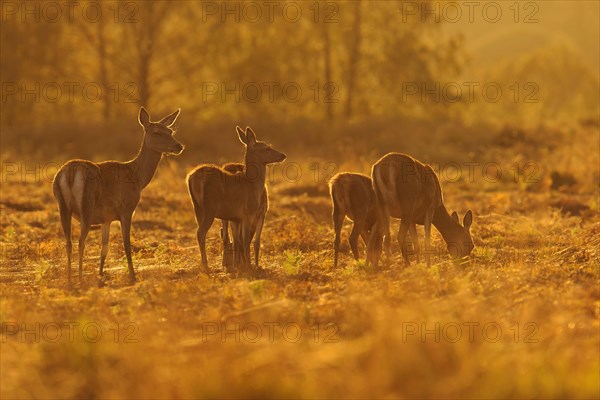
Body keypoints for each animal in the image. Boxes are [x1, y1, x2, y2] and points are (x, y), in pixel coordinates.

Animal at [52, 106, 184, 284]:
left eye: (170, 131)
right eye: (157, 132)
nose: (178, 146)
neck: (138, 178)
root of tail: (69, 174)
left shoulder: (106, 218)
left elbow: (104, 248)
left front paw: (101, 275)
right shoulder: (126, 210)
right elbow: (126, 244)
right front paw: (133, 276)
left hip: (62, 206)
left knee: (68, 242)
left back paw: (69, 280)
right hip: (86, 205)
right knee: (80, 241)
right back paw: (79, 278)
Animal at [188, 126, 286, 270]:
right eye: (266, 148)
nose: (283, 155)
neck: (251, 185)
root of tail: (192, 178)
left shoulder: (235, 217)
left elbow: (237, 241)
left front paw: (240, 265)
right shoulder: (248, 213)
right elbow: (246, 241)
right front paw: (249, 266)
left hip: (197, 208)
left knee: (204, 232)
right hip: (210, 208)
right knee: (200, 232)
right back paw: (206, 265)